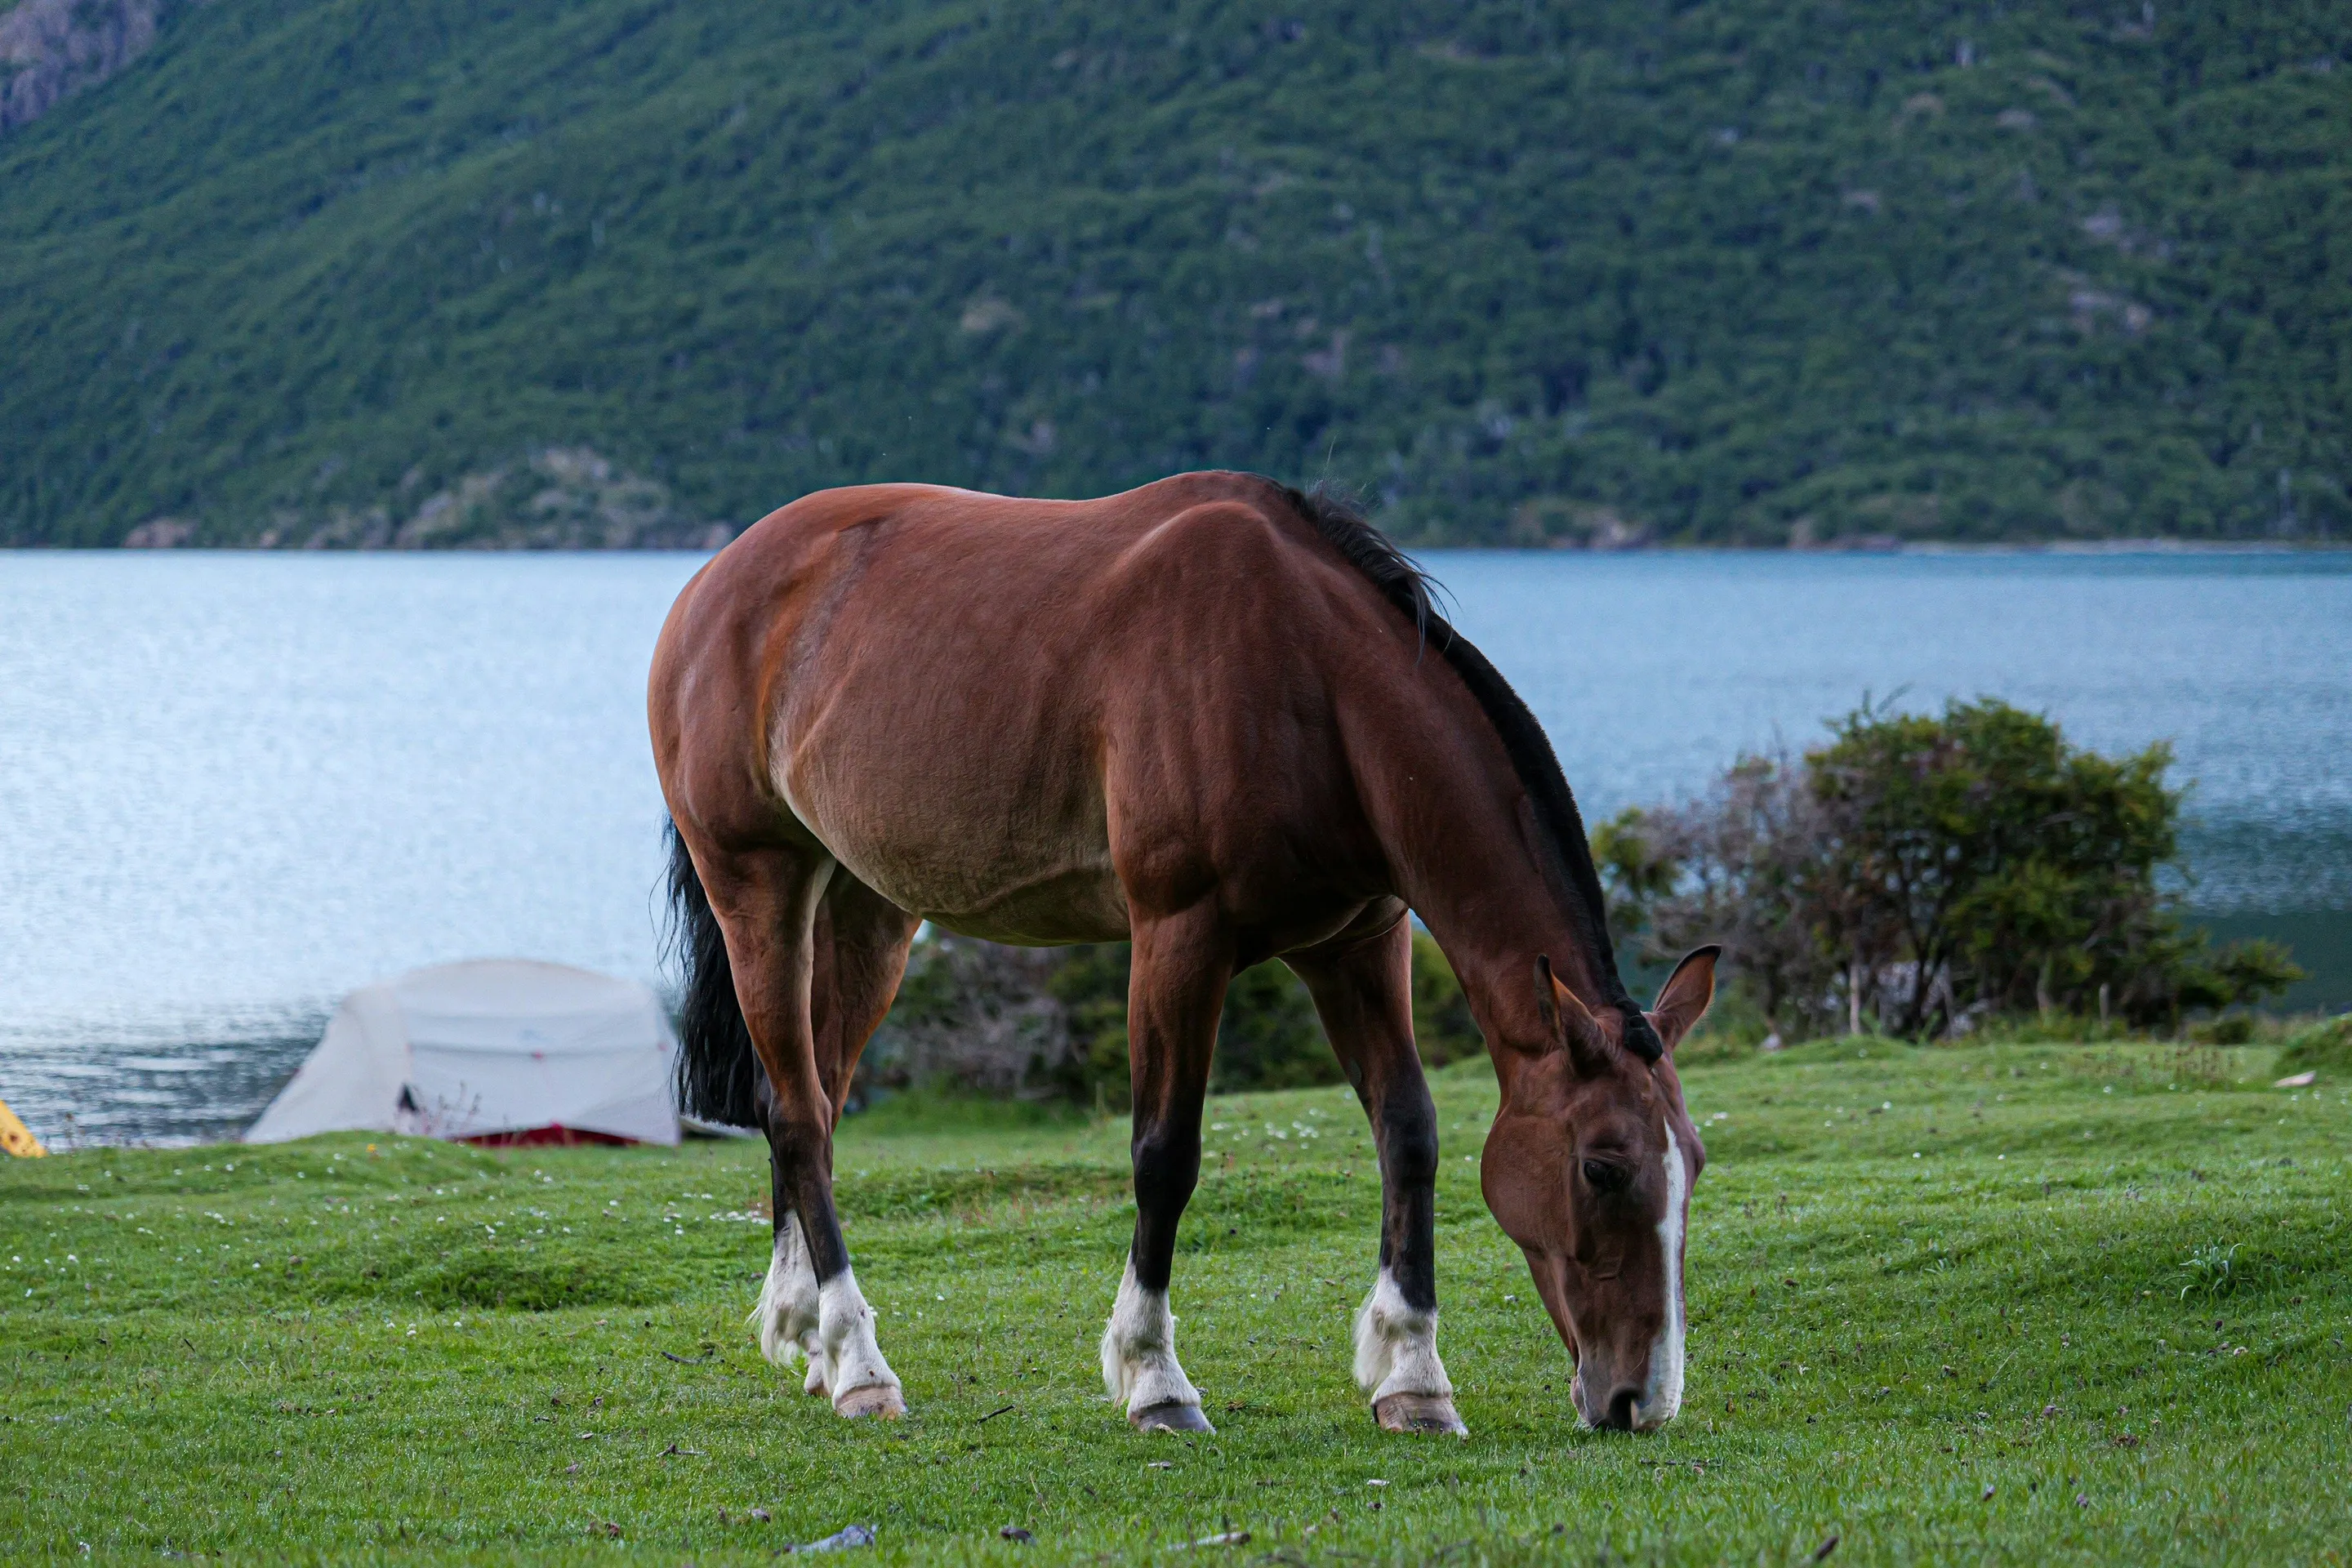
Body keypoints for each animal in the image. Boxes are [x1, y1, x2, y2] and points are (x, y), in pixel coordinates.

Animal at [648, 471, 1718, 1436]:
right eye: (1603, 1169)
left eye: (1693, 1167)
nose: (1640, 1401)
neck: (1310, 684)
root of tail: (714, 584)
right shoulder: (1177, 938)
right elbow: (1165, 1155)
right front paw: (1155, 1379)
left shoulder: (1360, 942)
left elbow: (1408, 1133)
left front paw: (1414, 1377)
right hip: (760, 890)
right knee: (795, 1114)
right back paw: (860, 1363)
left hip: (868, 911)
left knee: (818, 1102)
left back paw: (812, 1341)